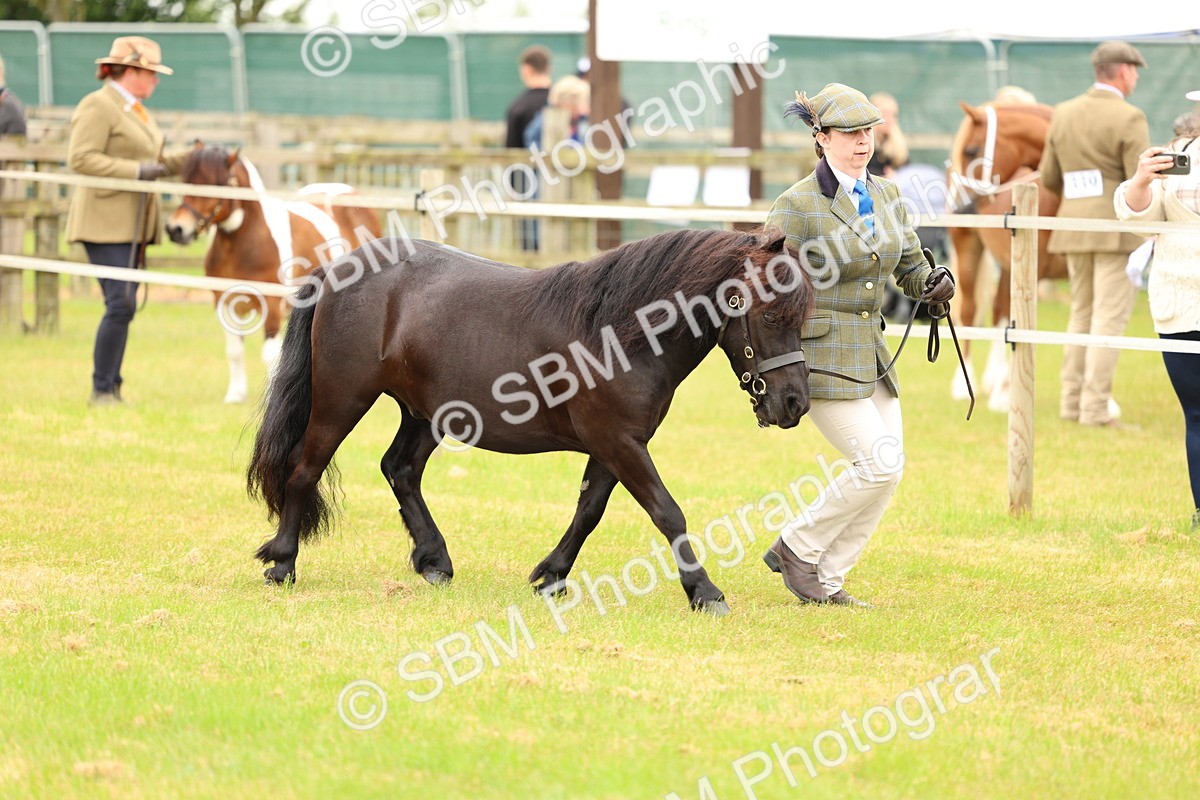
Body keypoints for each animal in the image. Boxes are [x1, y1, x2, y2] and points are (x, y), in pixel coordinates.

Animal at [165, 143, 382, 403]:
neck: (244, 243)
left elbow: (270, 356)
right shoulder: (225, 303)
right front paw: (235, 395)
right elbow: (234, 351)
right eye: (186, 181)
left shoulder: (271, 305)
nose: (176, 229)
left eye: (215, 184)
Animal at [245, 227, 816, 616]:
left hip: (426, 414)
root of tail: (338, 269)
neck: (618, 332)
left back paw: (434, 560)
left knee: (400, 469)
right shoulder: (619, 442)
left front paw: (550, 575)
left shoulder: (614, 445)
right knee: (305, 470)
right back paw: (283, 562)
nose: (795, 404)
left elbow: (588, 512)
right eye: (770, 315)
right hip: (342, 399)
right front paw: (705, 592)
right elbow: (667, 512)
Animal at [947, 101, 1069, 411]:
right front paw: (1006, 393)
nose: (958, 207)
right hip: (968, 248)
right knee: (969, 311)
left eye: (971, 151)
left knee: (999, 310)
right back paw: (967, 384)